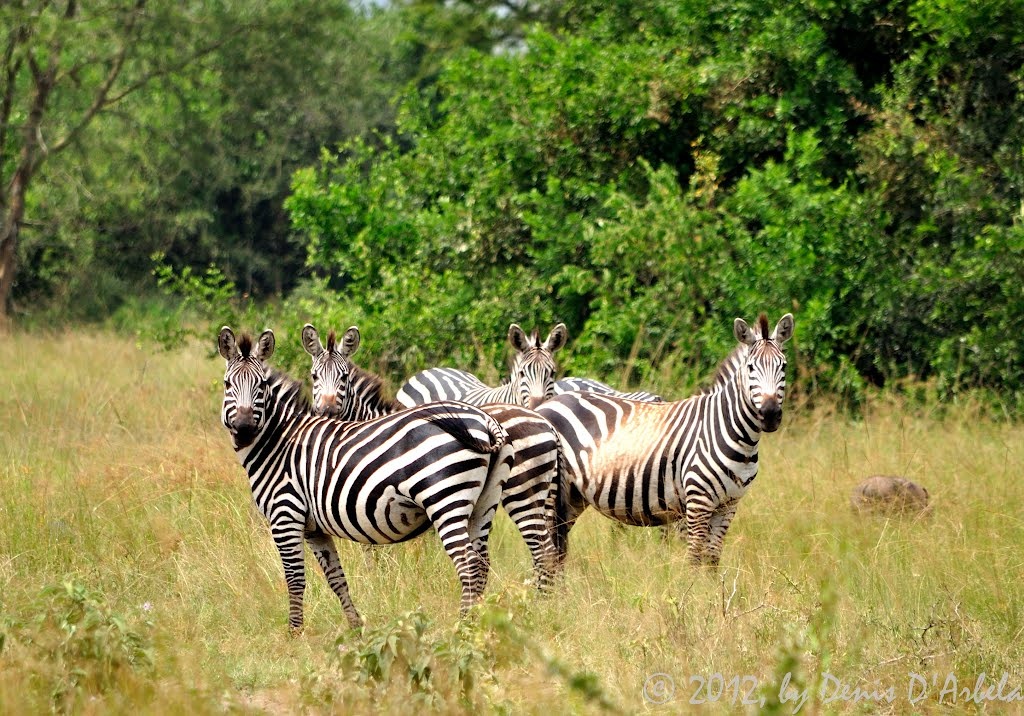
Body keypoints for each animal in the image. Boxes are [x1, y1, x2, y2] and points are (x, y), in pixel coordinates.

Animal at [218, 326, 514, 633]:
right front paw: (356, 627)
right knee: (482, 563)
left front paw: (294, 633)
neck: (280, 443)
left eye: (262, 385)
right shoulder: (314, 528)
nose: (243, 428)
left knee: (468, 564)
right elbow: (336, 577)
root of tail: (484, 421)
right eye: (227, 384)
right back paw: (477, 624)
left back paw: (461, 627)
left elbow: (295, 579)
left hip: (445, 497)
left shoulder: (285, 515)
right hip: (483, 504)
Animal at [537, 313, 794, 567]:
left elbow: (712, 558)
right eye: (751, 368)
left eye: (783, 366)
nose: (770, 414)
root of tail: (548, 403)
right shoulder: (698, 500)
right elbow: (694, 557)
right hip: (551, 491)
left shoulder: (729, 504)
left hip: (573, 495)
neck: (730, 431)